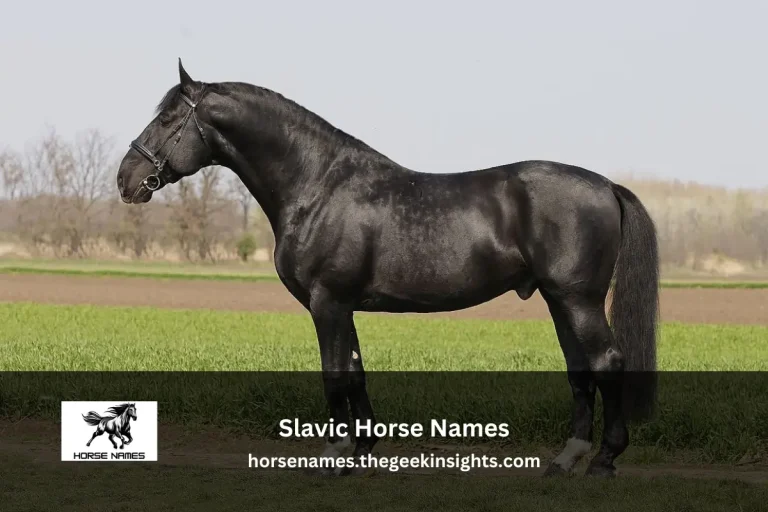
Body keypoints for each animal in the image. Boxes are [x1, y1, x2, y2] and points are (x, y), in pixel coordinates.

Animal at [116, 60, 659, 478]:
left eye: (168, 119)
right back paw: (567, 459)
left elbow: (335, 373)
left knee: (607, 361)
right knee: (580, 369)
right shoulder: (344, 306)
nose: (126, 179)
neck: (318, 186)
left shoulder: (328, 303)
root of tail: (605, 185)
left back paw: (604, 461)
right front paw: (361, 450)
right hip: (557, 299)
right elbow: (356, 371)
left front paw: (334, 454)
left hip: (578, 299)